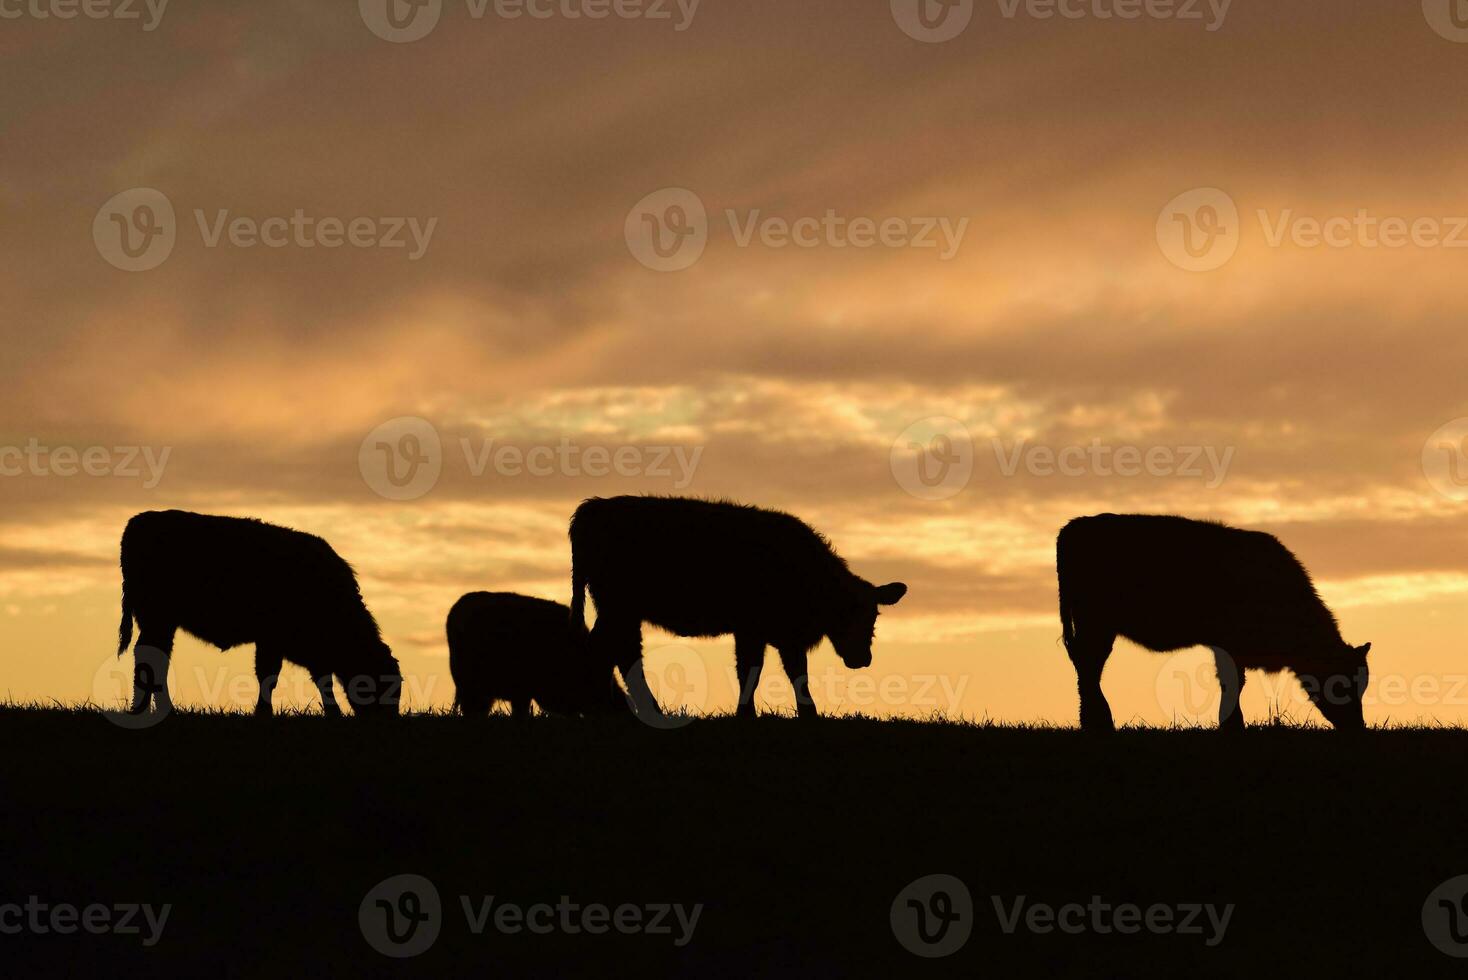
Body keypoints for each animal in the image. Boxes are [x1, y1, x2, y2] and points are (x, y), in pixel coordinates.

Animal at [117, 513, 402, 718]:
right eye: (380, 684)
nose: (388, 719)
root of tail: (138, 522)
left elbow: (322, 680)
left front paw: (333, 713)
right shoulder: (270, 641)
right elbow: (269, 675)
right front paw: (264, 712)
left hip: (162, 623)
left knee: (156, 657)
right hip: (158, 619)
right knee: (150, 658)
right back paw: (149, 710)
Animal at [569, 498, 904, 718]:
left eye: (874, 616)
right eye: (849, 614)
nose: (863, 659)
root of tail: (594, 507)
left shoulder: (781, 635)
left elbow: (792, 672)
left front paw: (804, 714)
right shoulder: (754, 629)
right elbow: (753, 670)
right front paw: (750, 714)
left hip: (619, 610)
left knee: (618, 652)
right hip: (618, 607)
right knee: (610, 651)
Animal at [1062, 516, 1368, 730]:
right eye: (1340, 684)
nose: (1357, 726)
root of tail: (1075, 525)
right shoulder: (1228, 645)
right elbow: (1233, 681)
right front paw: (1232, 724)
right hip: (1097, 626)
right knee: (1090, 666)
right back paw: (1099, 722)